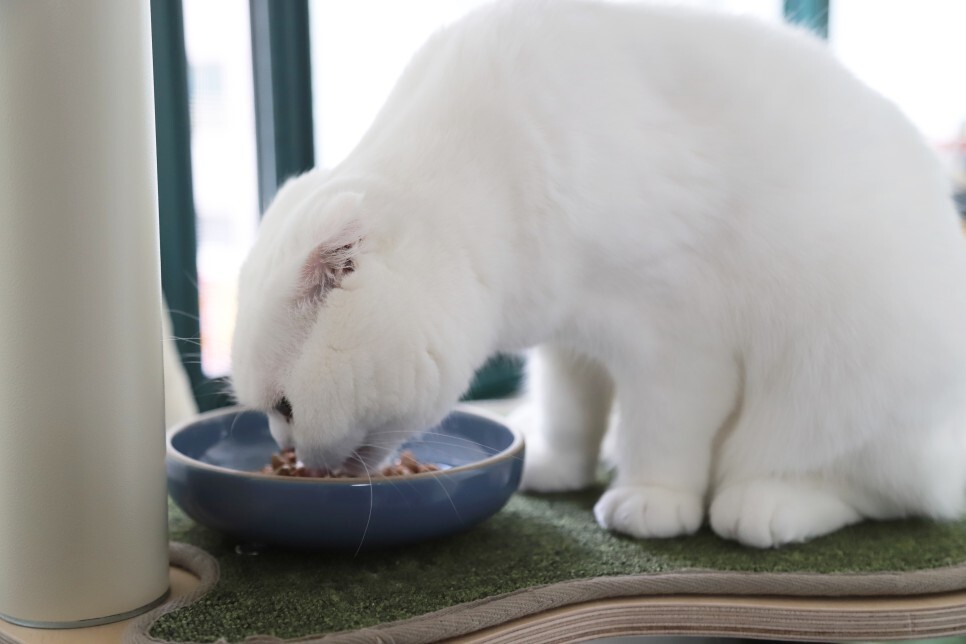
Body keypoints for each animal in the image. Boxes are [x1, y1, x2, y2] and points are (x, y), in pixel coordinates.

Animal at [233, 0, 966, 548]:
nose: (285, 447)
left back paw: (764, 504)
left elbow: (661, 431)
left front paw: (652, 499)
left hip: (835, 372)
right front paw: (559, 465)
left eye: (285, 407)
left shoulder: (675, 338)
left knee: (874, 487)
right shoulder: (570, 337)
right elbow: (570, 410)